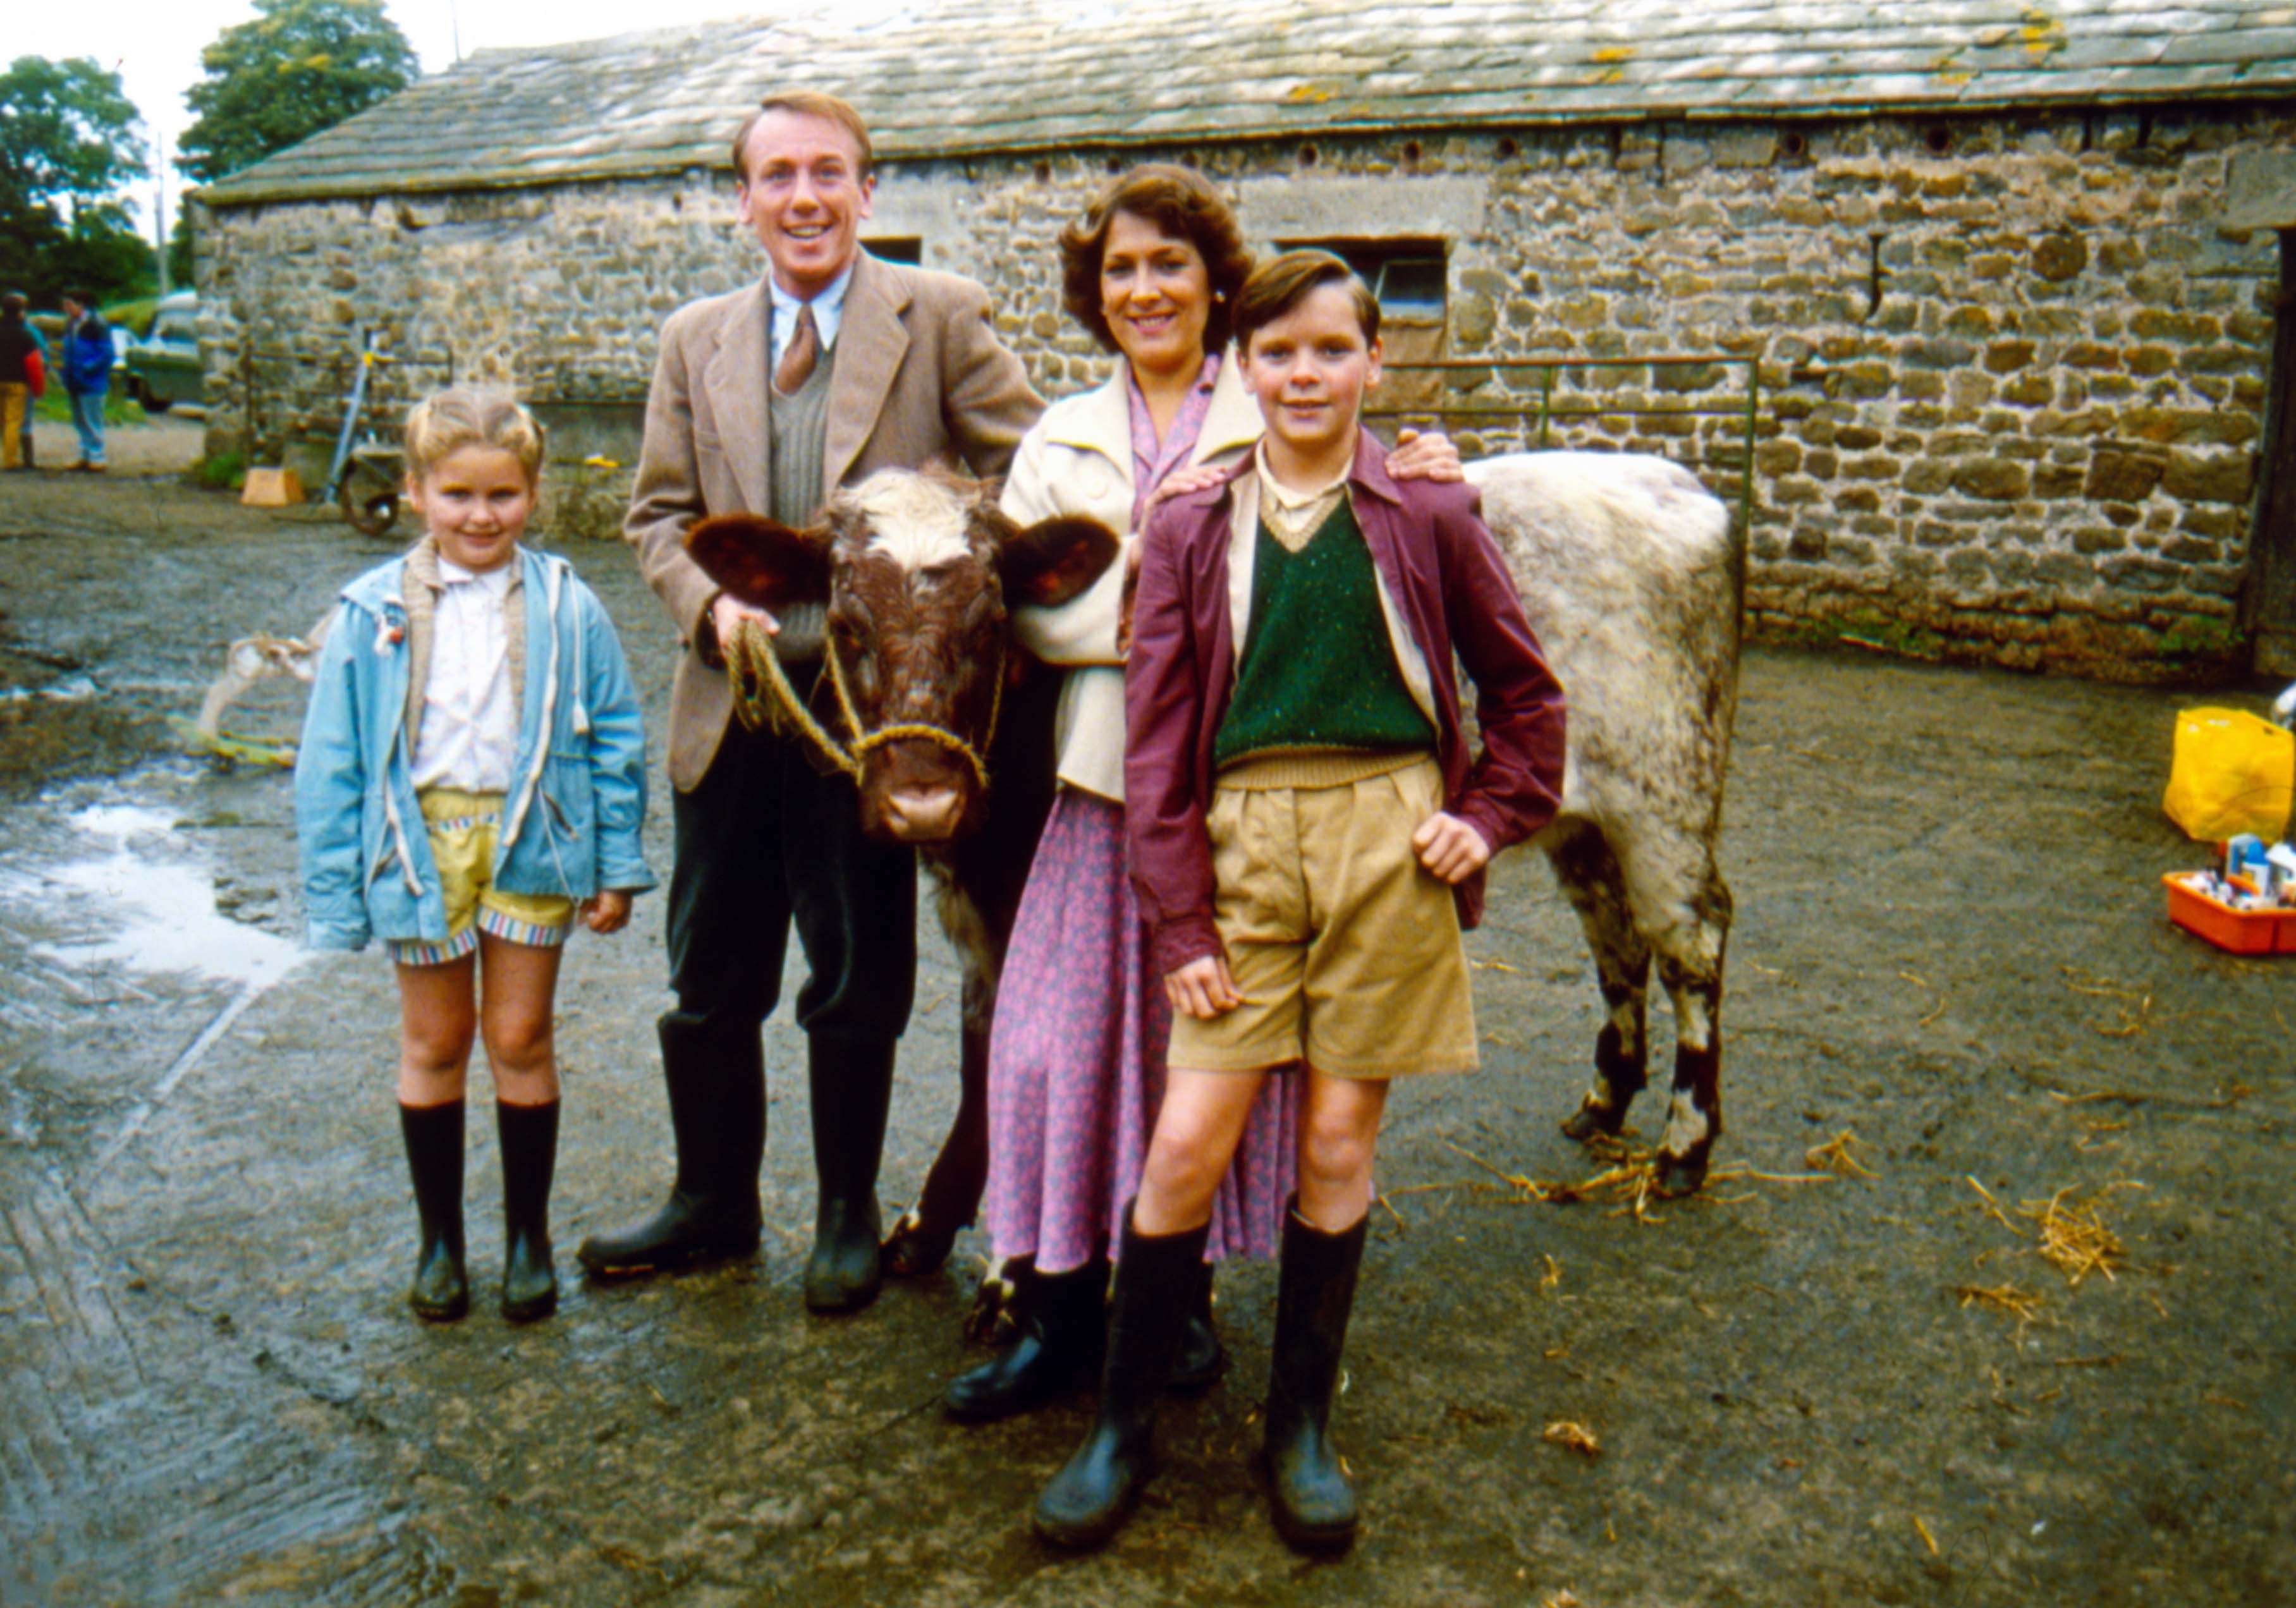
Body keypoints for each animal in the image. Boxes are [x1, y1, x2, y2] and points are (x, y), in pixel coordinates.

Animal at [680, 471, 1120, 1277]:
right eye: (847, 626)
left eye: (991, 626)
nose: (923, 804)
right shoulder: (981, 927)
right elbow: (986, 1052)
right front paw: (929, 1223)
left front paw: (1022, 1272)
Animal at [1469, 452, 1735, 1194]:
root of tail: (1679, 483)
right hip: (1584, 826)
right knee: (1618, 943)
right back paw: (1605, 1100)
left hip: (1664, 806)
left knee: (1691, 948)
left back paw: (1684, 1145)